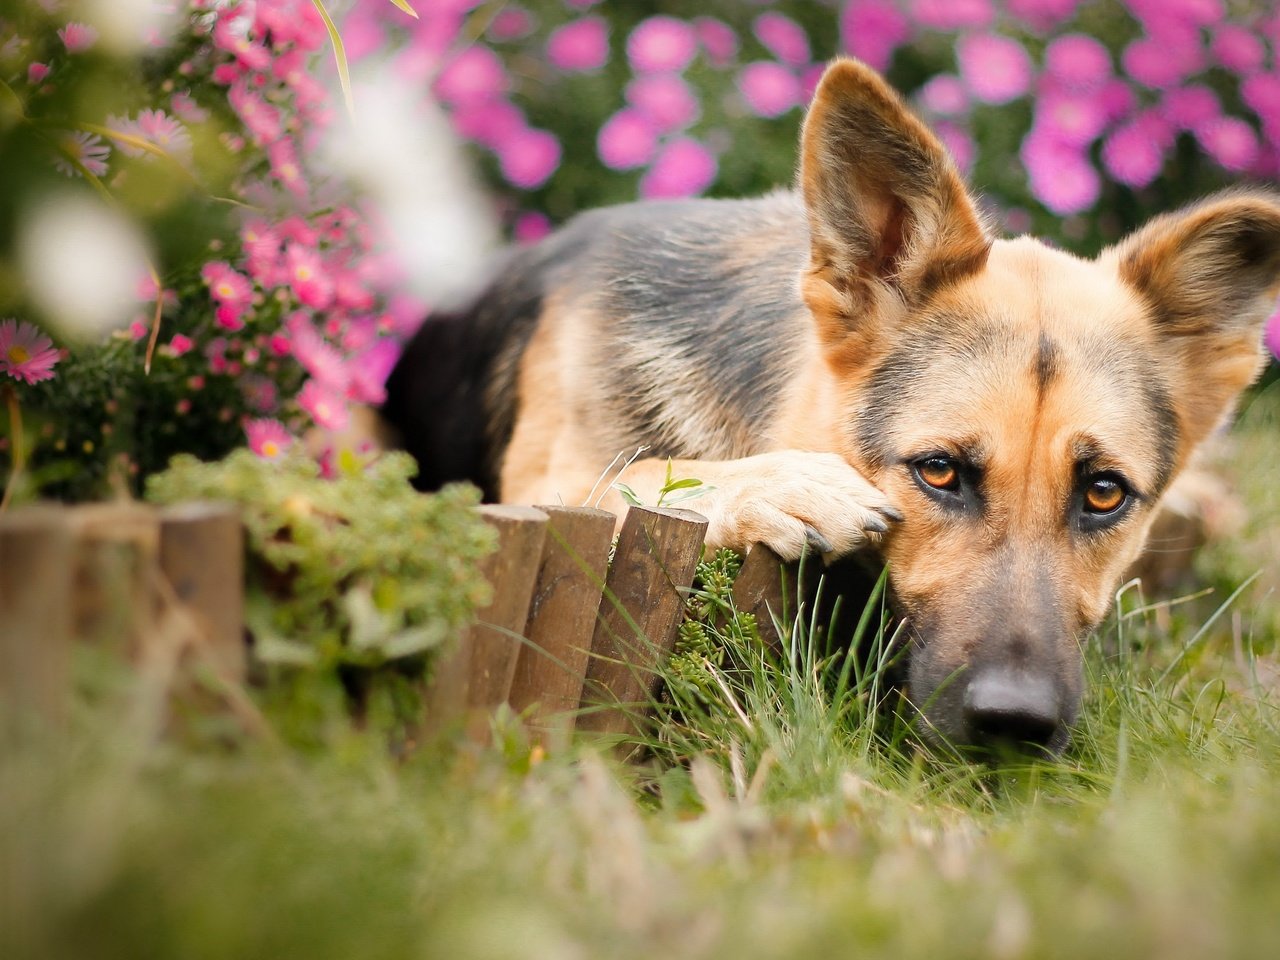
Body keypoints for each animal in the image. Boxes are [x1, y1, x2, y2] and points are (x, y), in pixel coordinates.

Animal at [384, 60, 1280, 757]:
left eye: (1103, 494)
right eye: (939, 472)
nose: (1015, 727)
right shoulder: (546, 488)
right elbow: (644, 469)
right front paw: (780, 483)